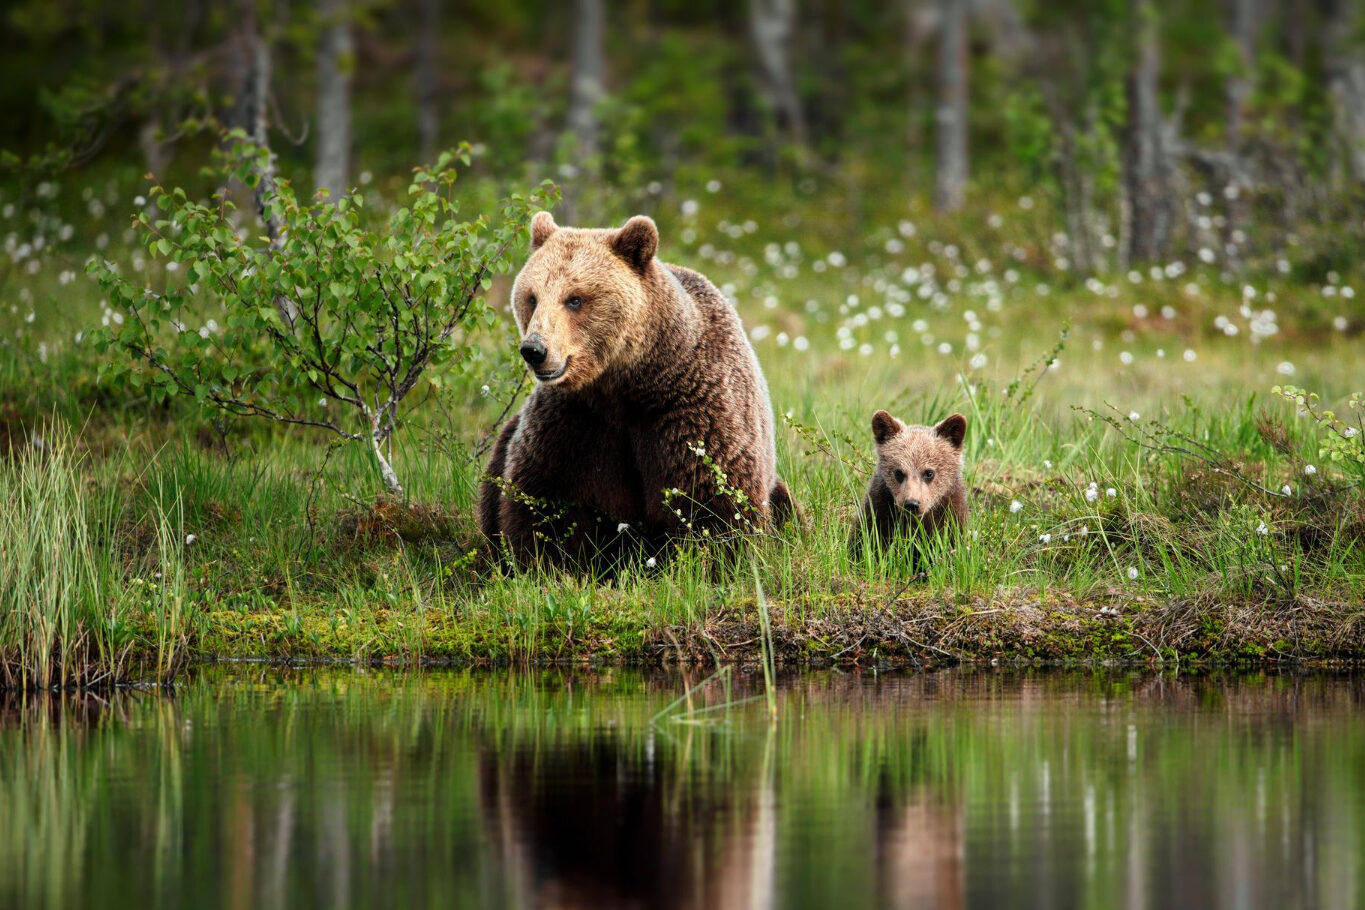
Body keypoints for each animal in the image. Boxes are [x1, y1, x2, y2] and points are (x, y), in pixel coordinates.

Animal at [478, 211, 793, 568]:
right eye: (532, 297)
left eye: (575, 299)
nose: (534, 350)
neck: (624, 384)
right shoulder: (573, 422)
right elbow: (544, 501)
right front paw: (545, 563)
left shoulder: (690, 411)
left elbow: (712, 500)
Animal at [849, 410, 968, 563]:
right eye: (898, 472)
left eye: (929, 473)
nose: (912, 504)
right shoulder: (878, 511)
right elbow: (864, 543)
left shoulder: (949, 512)